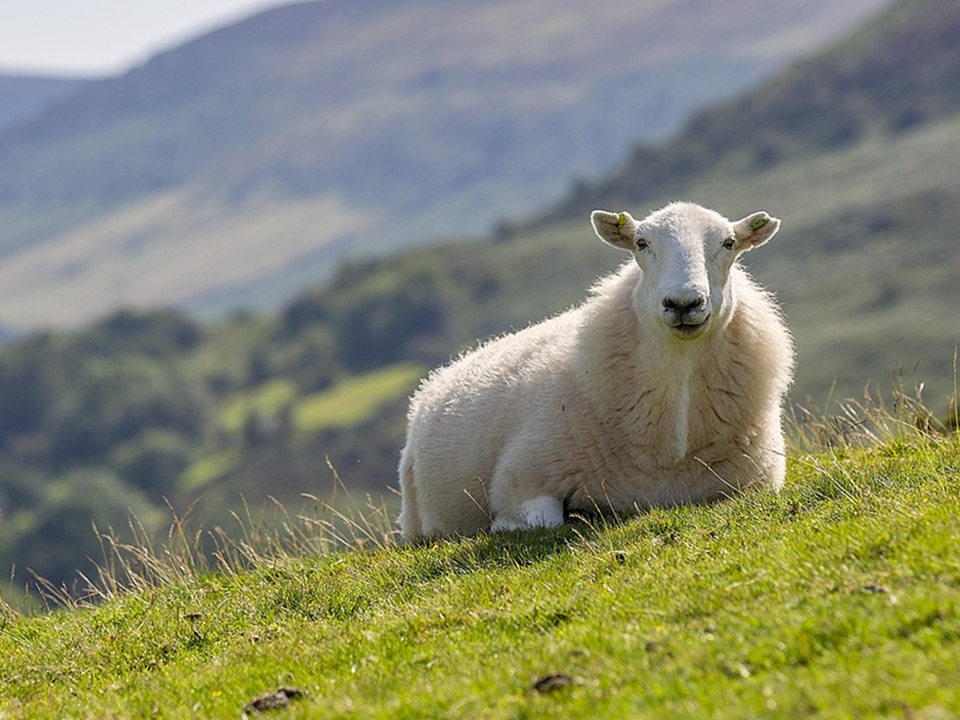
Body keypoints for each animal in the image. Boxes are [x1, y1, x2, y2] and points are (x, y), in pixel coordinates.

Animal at [399, 201, 794, 538]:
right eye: (641, 243)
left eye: (729, 243)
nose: (683, 303)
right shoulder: (521, 479)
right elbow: (543, 519)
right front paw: (504, 527)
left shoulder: (758, 482)